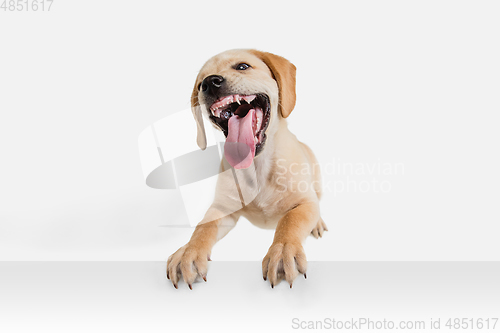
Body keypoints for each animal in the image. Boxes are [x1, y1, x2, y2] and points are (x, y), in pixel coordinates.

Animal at [166, 48, 326, 288]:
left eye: (242, 66)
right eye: (200, 84)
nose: (210, 83)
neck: (257, 167)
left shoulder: (304, 203)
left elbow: (290, 222)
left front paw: (282, 252)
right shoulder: (222, 209)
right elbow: (203, 226)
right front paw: (189, 251)